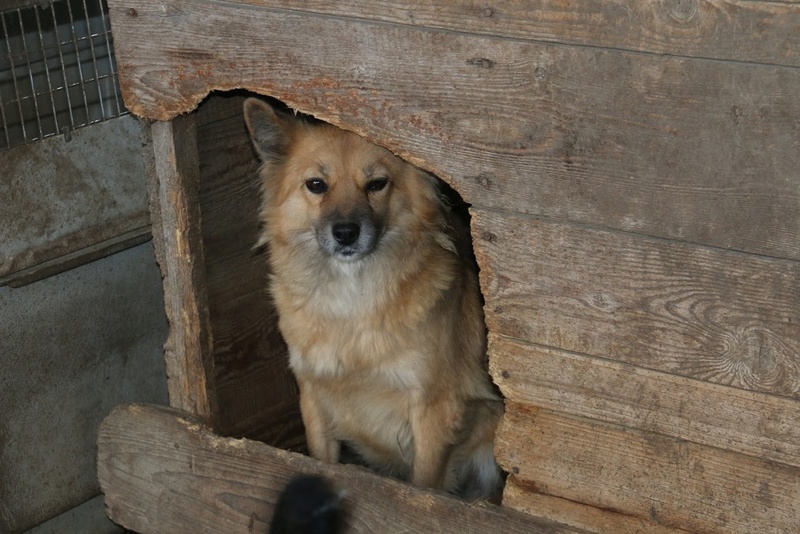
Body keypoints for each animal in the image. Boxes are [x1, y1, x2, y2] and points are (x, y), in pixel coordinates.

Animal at [245, 97, 500, 502]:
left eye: (377, 184)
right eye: (316, 185)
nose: (346, 232)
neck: (351, 299)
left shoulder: (433, 411)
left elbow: (425, 485)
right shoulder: (314, 399)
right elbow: (321, 461)